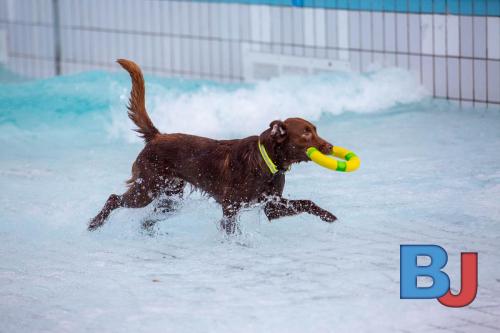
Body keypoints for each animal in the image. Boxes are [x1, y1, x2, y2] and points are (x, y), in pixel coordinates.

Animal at [88, 58, 338, 232]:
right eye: (306, 134)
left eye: (315, 129)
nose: (329, 147)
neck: (266, 162)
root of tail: (157, 136)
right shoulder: (230, 207)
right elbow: (230, 230)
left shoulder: (272, 206)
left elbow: (306, 202)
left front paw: (328, 216)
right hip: (146, 189)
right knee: (114, 198)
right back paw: (95, 224)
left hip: (170, 196)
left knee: (148, 218)